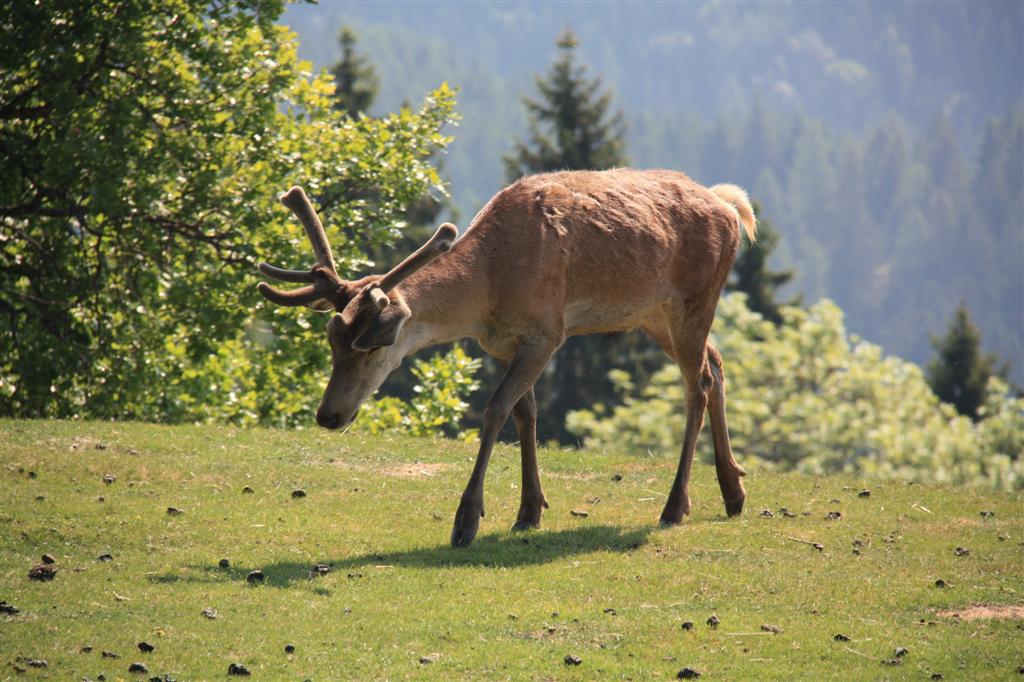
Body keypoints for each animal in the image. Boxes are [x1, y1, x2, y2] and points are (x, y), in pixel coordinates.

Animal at [256, 169, 753, 548]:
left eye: (372, 344)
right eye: (332, 340)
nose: (328, 415)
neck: (489, 290)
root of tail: (732, 208)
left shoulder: (547, 332)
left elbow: (494, 410)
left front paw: (466, 520)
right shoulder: (499, 344)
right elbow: (524, 413)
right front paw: (529, 510)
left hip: (694, 298)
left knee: (696, 385)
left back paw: (675, 506)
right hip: (653, 315)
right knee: (716, 363)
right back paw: (733, 491)